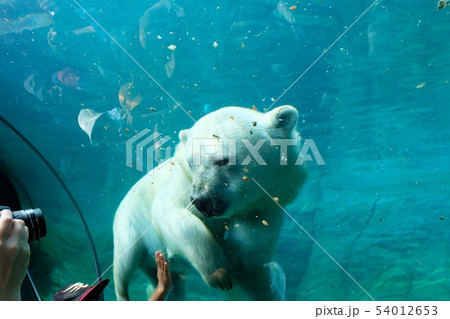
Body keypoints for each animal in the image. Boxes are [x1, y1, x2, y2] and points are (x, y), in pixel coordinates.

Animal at [114, 105, 308, 300]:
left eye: (222, 160)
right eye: (191, 163)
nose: (200, 200)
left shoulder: (262, 205)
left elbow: (251, 249)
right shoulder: (177, 189)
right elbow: (179, 220)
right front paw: (219, 274)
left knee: (176, 285)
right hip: (128, 225)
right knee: (124, 265)